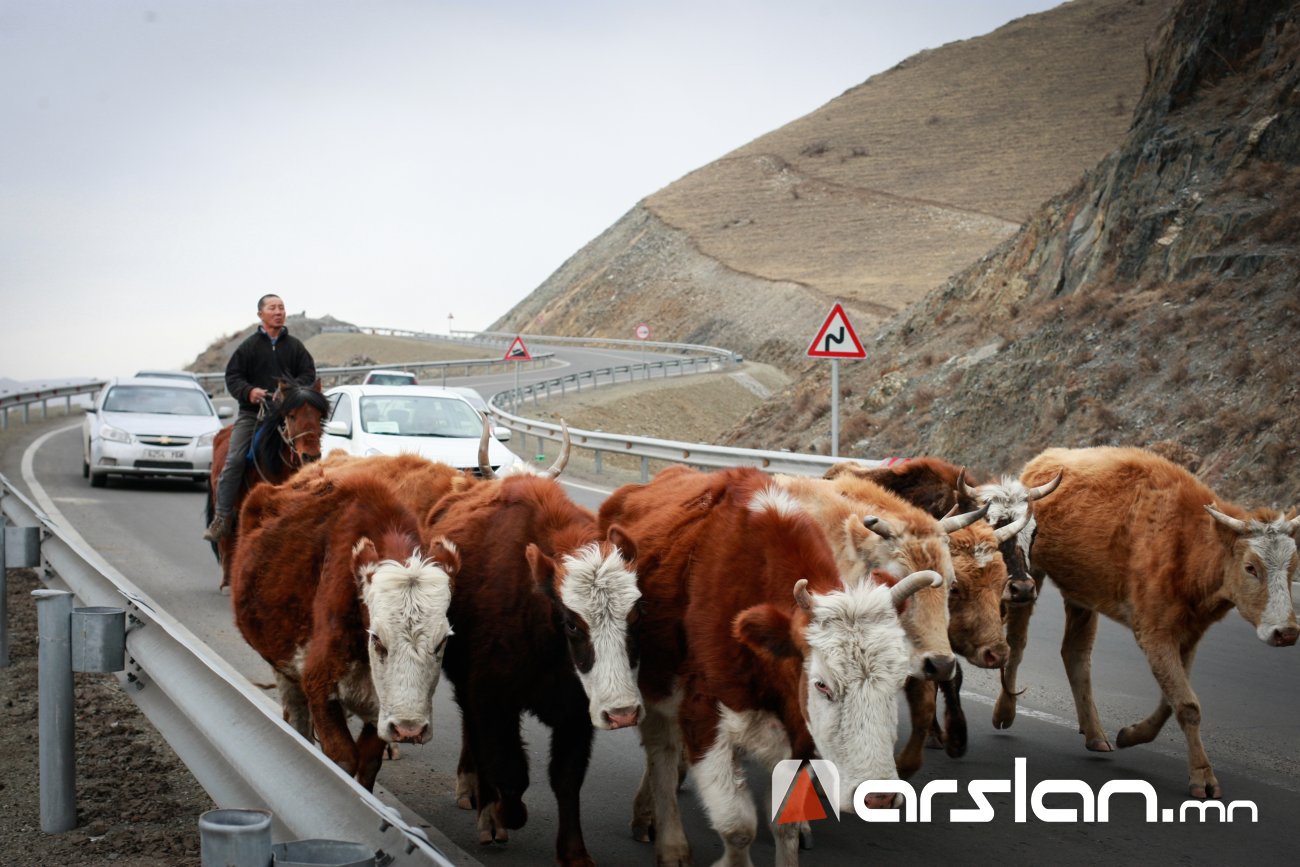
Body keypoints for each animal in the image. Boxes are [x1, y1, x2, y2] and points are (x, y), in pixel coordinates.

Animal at [228, 470, 457, 790]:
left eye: (441, 642)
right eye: (377, 639)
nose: (409, 729)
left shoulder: (379, 709)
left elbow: (368, 763)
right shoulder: (319, 685)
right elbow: (343, 760)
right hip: (283, 668)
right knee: (297, 719)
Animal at [998, 447, 1294, 800]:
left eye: (1293, 566)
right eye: (1251, 567)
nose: (1286, 631)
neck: (1190, 545)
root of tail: (1038, 463)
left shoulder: (1188, 634)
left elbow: (1173, 700)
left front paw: (1130, 735)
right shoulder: (1154, 632)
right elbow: (1187, 703)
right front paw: (1203, 777)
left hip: (1081, 594)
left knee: (1075, 652)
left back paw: (1095, 734)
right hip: (1029, 578)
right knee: (1017, 643)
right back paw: (1005, 712)